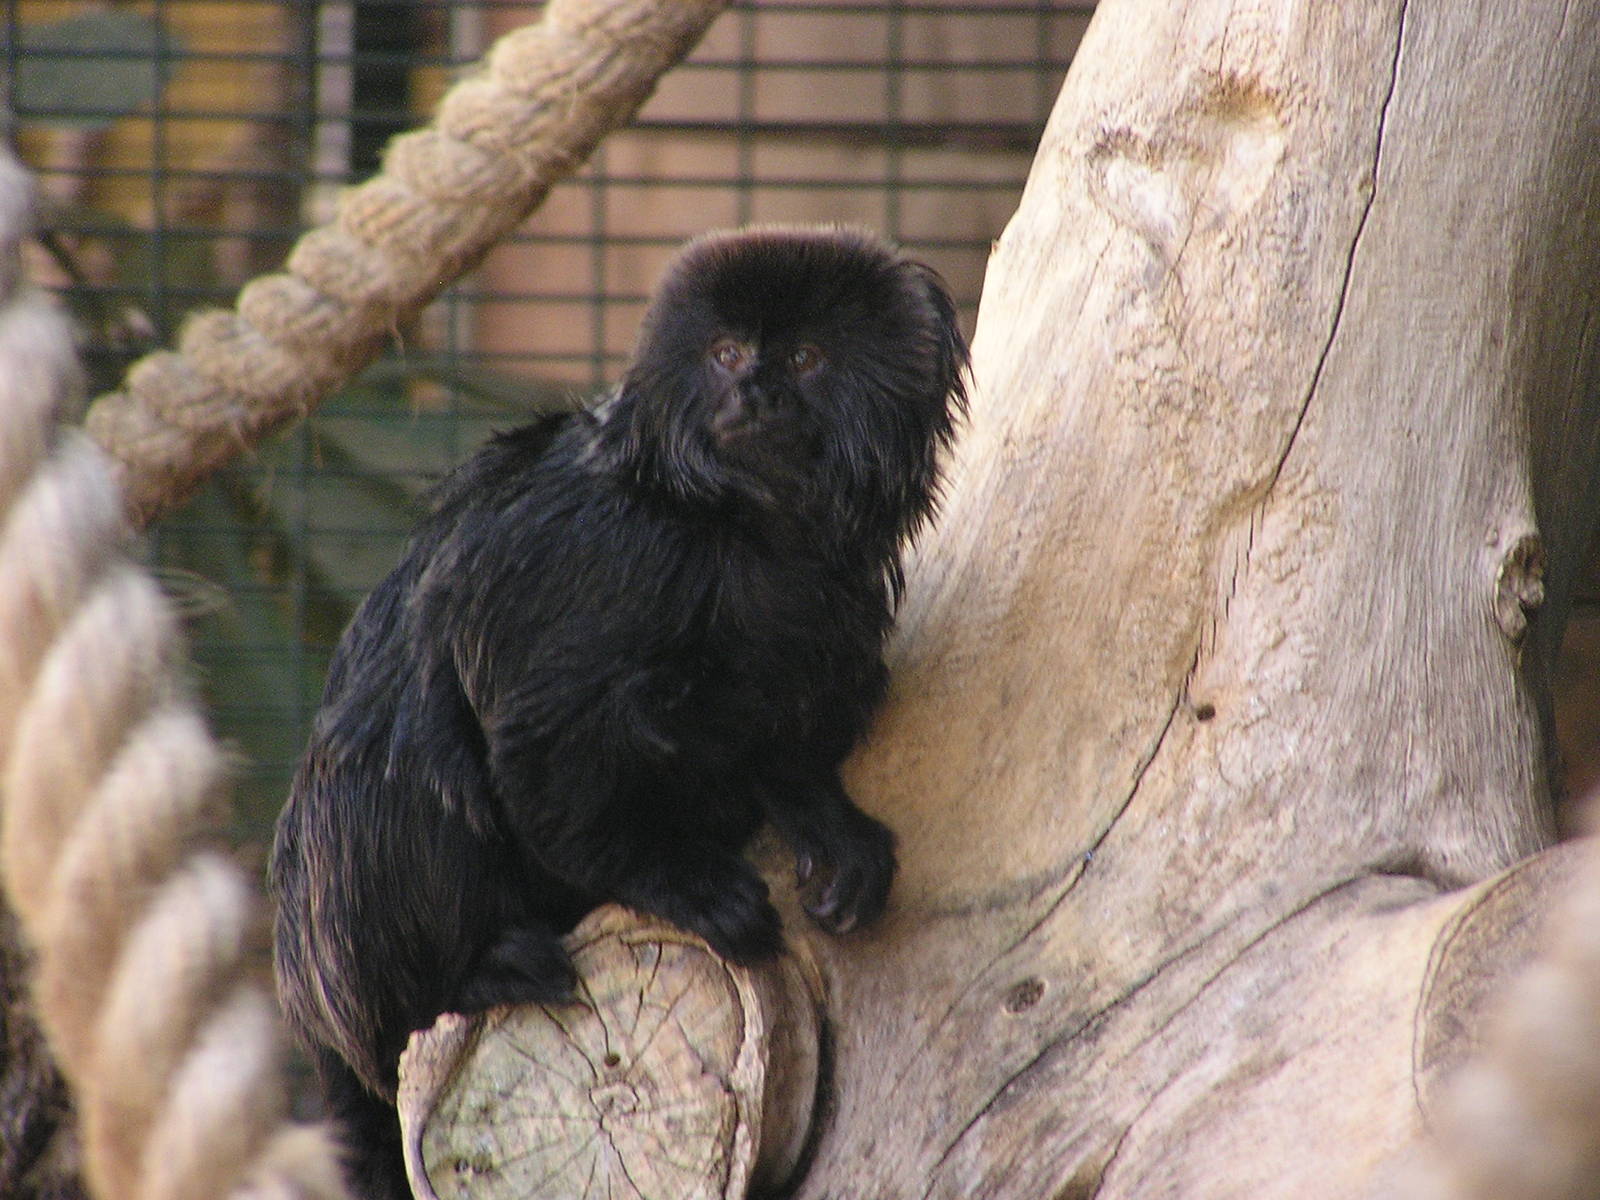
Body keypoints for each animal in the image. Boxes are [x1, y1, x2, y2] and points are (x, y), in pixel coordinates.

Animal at [268, 225, 969, 1198]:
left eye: (803, 358)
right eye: (726, 355)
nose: (755, 392)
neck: (742, 524)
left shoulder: (836, 598)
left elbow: (777, 729)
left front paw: (823, 820)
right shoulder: (604, 555)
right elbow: (542, 742)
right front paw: (673, 879)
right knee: (398, 768)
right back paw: (466, 976)